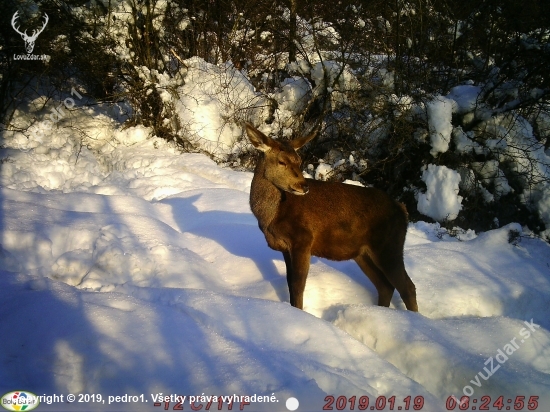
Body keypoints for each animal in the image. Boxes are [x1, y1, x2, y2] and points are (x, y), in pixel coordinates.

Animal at [246, 122, 418, 312]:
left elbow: (298, 286)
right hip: (363, 253)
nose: (304, 186)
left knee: (407, 286)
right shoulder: (285, 247)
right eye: (281, 161)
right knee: (385, 286)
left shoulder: (303, 239)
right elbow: (290, 284)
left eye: (299, 161)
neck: (271, 217)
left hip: (389, 245)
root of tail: (402, 210)